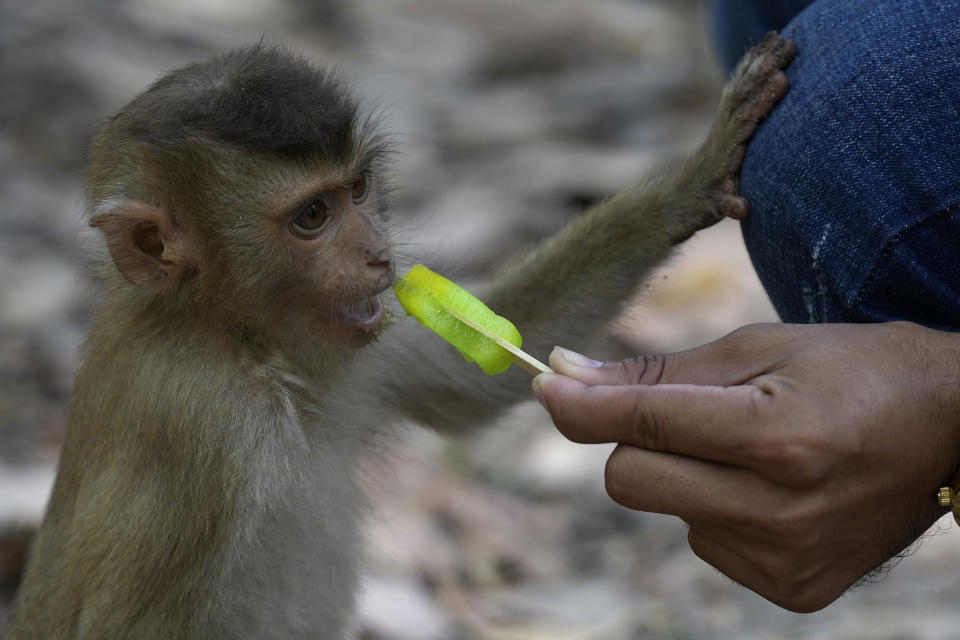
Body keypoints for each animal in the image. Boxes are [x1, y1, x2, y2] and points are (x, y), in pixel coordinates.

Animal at [5, 33, 796, 640]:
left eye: (357, 190)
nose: (381, 257)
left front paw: (694, 179)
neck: (239, 338)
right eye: (312, 216)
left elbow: (464, 386)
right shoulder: (205, 428)